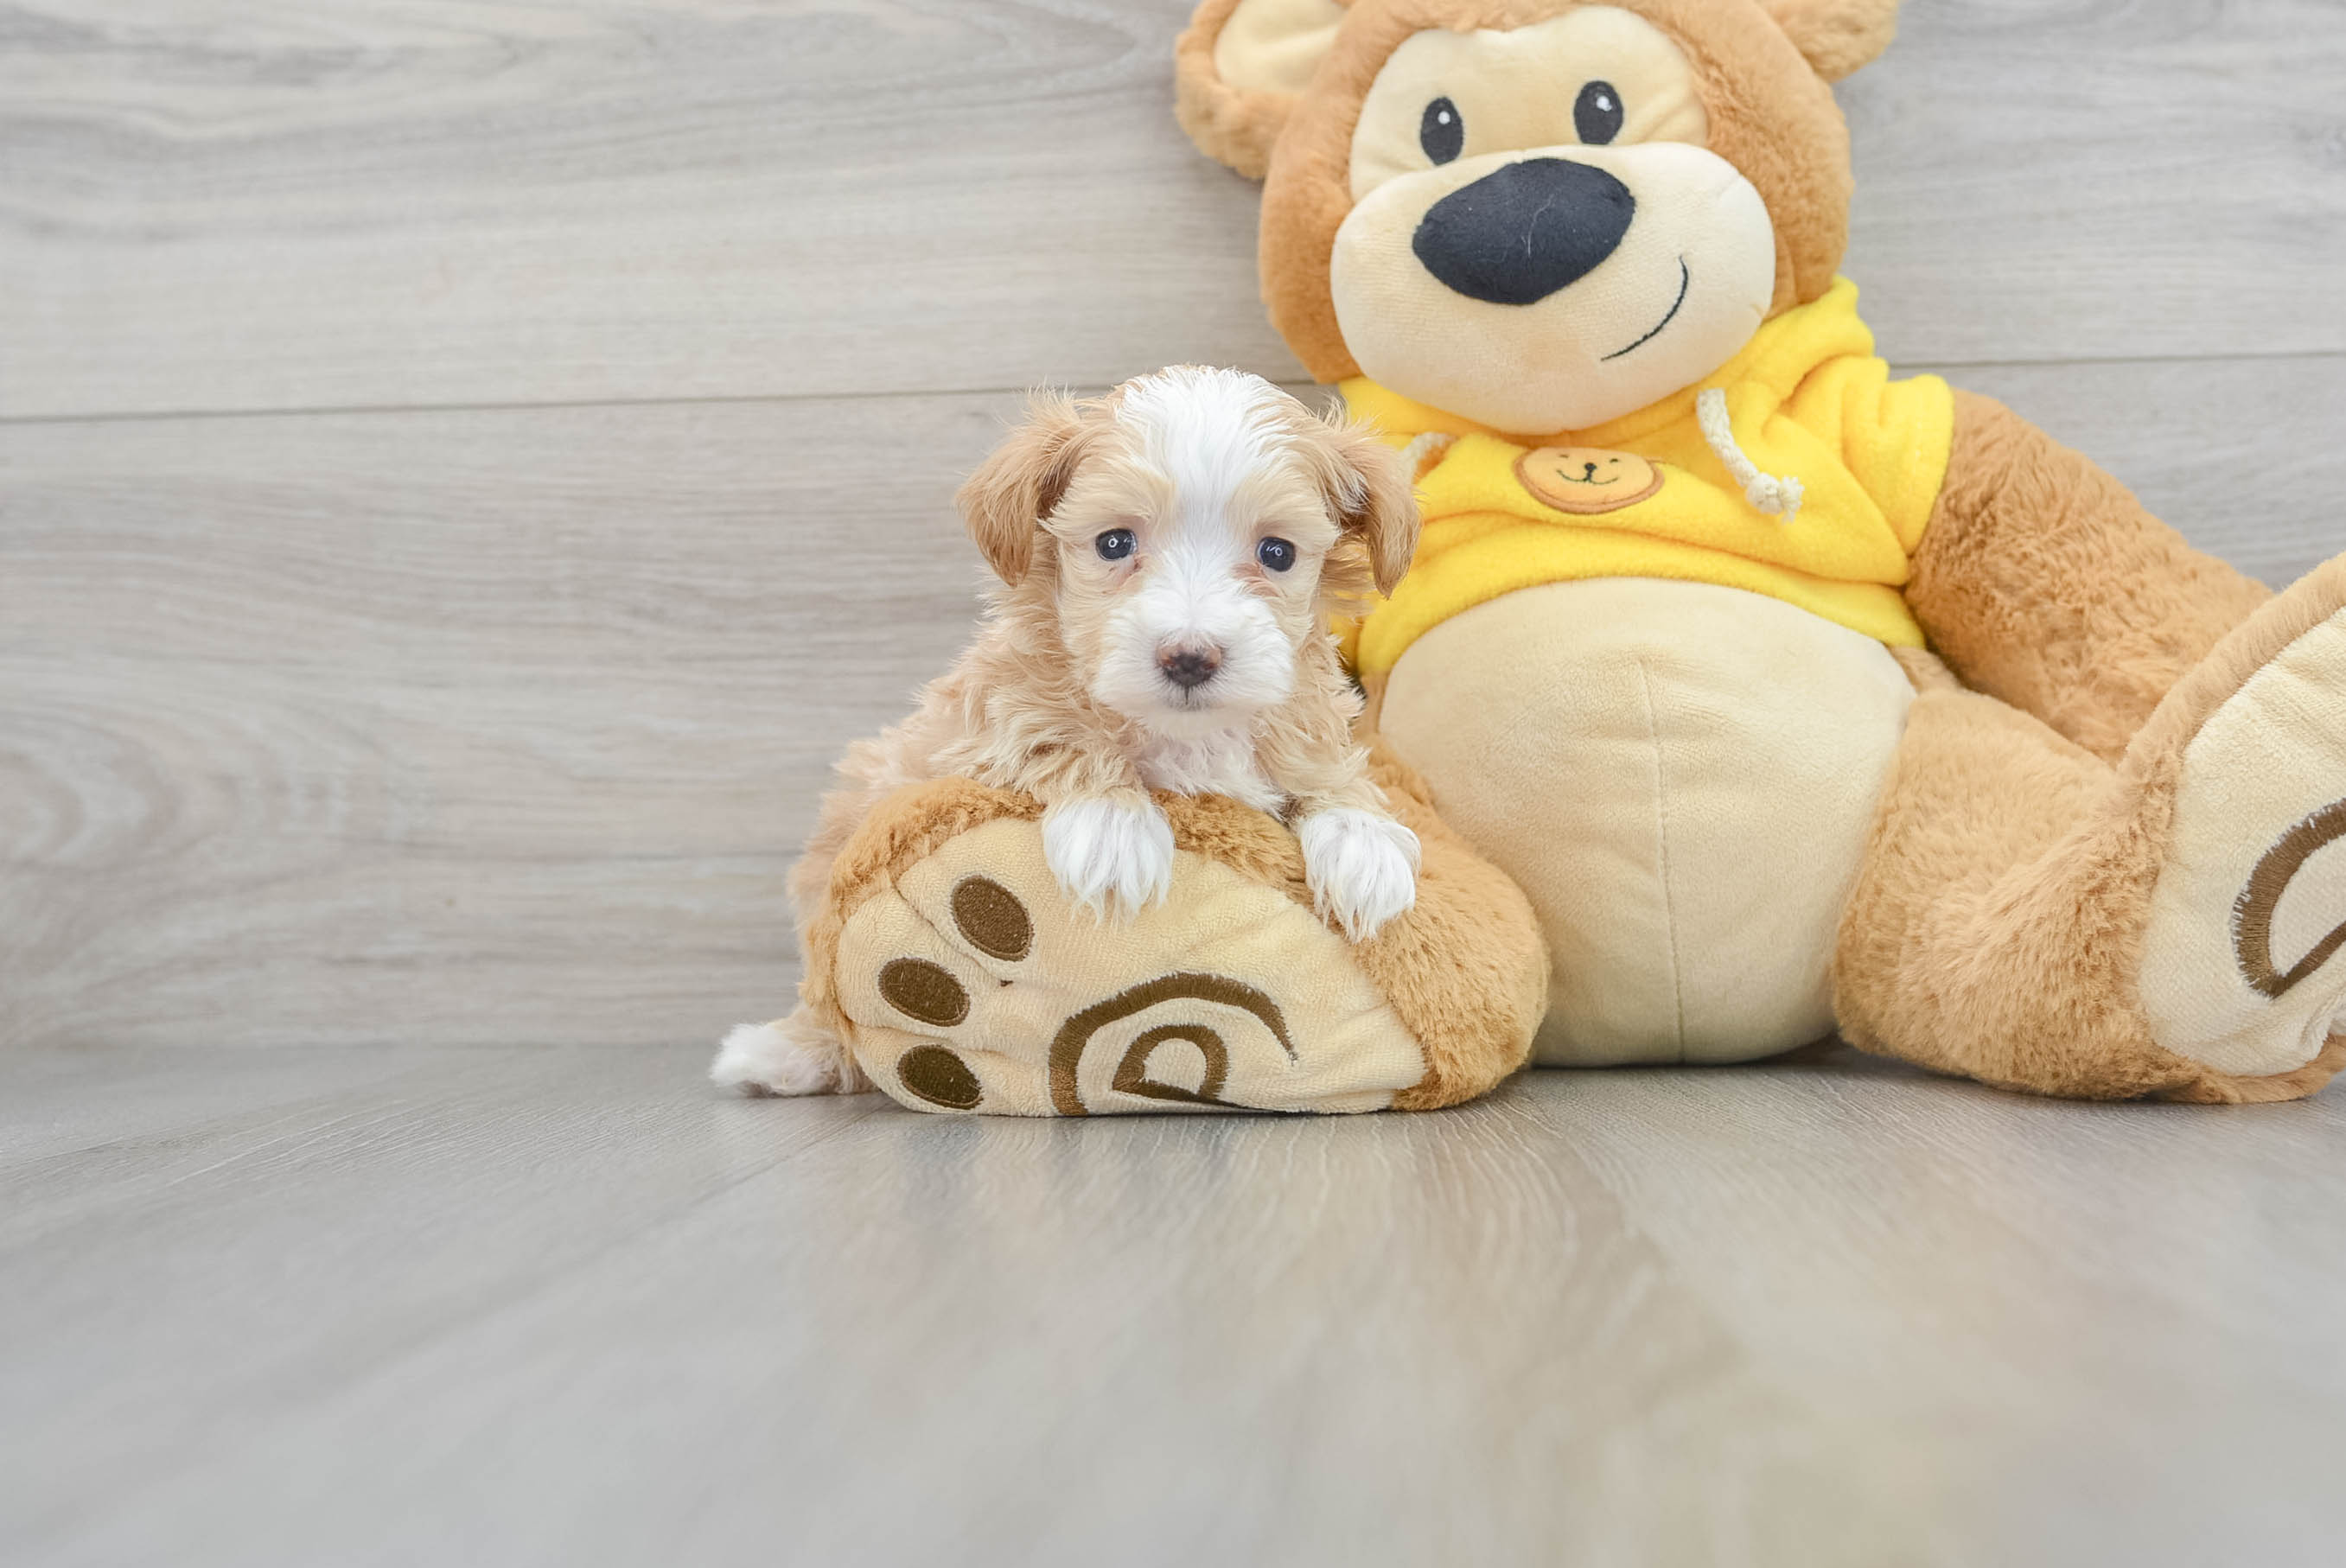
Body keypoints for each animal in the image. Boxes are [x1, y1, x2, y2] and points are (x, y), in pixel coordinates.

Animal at [708, 371, 1407, 1103]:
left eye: (1277, 553)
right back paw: (781, 1052)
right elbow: (1046, 724)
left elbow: (1326, 770)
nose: (1189, 657)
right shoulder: (973, 724)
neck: (1183, 735)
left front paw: (1364, 846)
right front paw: (1114, 828)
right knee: (823, 1001)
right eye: (1115, 543)